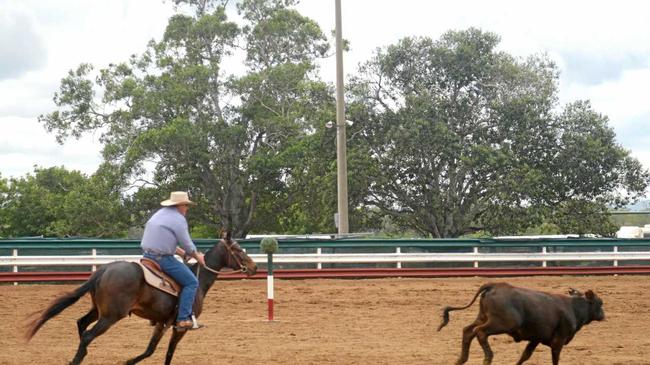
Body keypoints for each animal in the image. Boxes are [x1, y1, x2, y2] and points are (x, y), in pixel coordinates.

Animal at [26, 239, 256, 364]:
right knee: (88, 335)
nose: (253, 267)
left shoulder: (163, 323)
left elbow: (151, 349)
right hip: (110, 316)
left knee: (81, 325)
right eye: (238, 250)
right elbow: (167, 352)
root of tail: (104, 270)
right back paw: (77, 359)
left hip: (98, 310)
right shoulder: (179, 327)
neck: (197, 280)